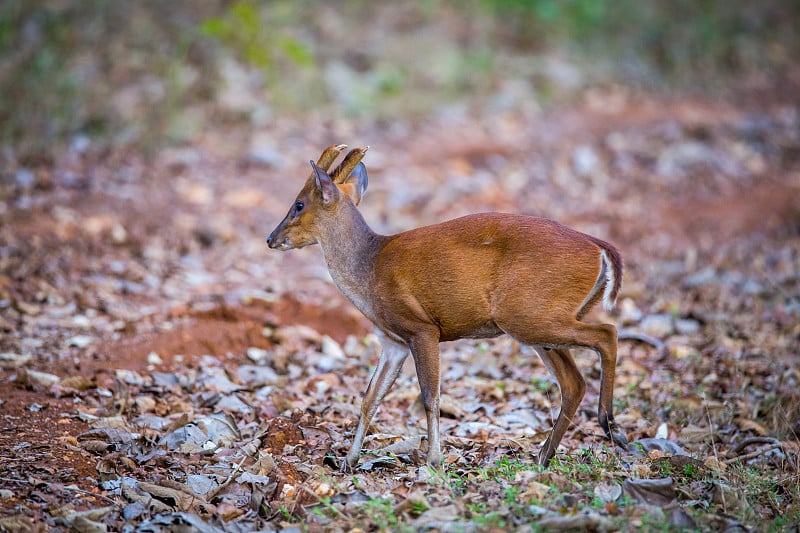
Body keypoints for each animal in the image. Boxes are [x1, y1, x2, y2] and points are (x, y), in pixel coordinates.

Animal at [266, 143, 628, 468]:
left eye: (298, 204)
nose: (270, 238)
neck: (369, 269)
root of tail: (600, 247)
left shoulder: (422, 328)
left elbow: (430, 397)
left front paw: (434, 461)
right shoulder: (393, 341)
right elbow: (370, 398)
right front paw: (348, 462)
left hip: (528, 314)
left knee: (607, 334)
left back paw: (610, 424)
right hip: (541, 319)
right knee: (574, 382)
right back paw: (545, 455)